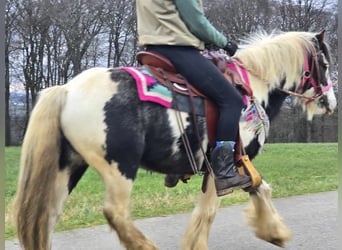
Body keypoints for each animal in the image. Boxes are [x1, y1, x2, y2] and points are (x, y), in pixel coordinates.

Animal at [12, 29, 336, 250]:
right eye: (325, 64)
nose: (331, 102)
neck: (253, 87)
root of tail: (66, 90)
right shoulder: (225, 167)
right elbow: (209, 210)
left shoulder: (236, 165)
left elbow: (261, 189)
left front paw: (275, 232)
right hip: (119, 167)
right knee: (116, 213)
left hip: (70, 166)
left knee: (46, 218)